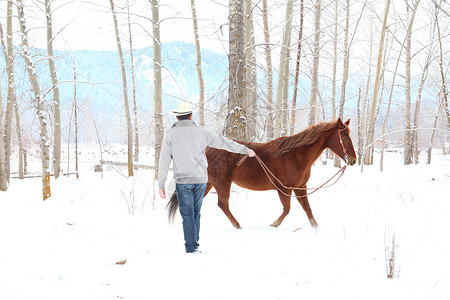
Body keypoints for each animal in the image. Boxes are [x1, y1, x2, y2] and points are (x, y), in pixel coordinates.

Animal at [167, 118, 356, 229]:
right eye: (345, 138)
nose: (353, 160)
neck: (295, 155)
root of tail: (206, 149)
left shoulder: (300, 187)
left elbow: (307, 209)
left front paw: (316, 227)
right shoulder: (284, 189)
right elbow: (287, 209)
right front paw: (275, 223)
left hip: (209, 183)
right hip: (221, 183)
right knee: (223, 204)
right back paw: (237, 225)